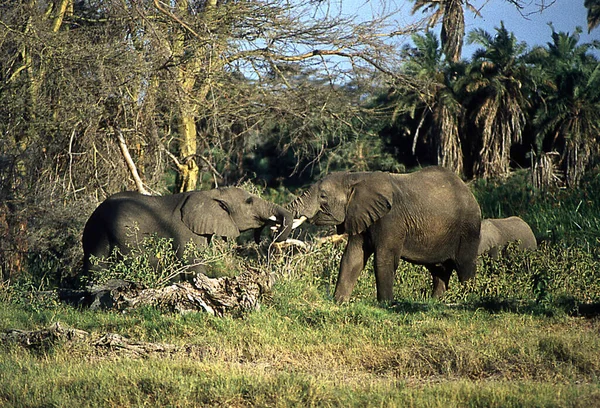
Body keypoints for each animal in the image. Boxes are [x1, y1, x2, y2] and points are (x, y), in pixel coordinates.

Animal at [81, 187, 292, 278]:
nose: (271, 233)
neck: (209, 193)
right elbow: (193, 266)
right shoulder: (185, 233)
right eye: (249, 201)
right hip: (100, 231)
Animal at [288, 166, 482, 302]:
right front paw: (339, 302)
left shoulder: (391, 218)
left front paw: (386, 304)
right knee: (438, 269)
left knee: (465, 266)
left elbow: (383, 259)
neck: (355, 177)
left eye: (323, 196)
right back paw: (435, 302)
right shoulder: (360, 214)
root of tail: (469, 191)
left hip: (469, 227)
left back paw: (467, 298)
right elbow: (352, 257)